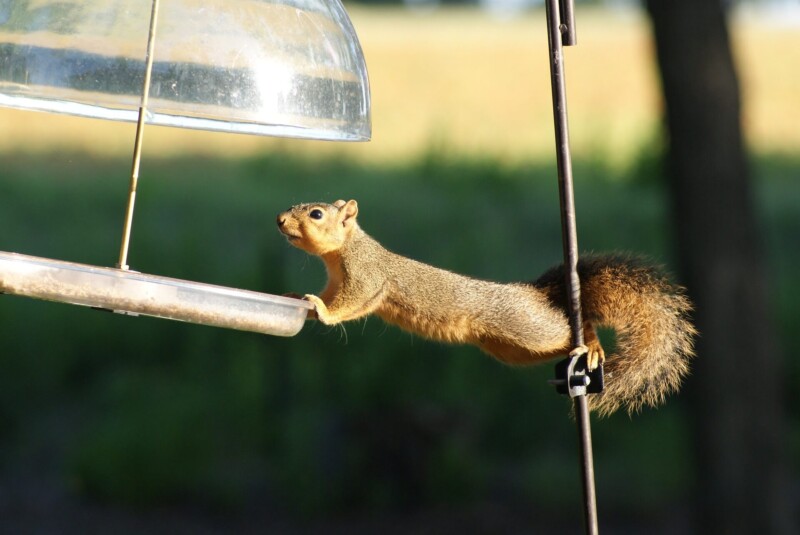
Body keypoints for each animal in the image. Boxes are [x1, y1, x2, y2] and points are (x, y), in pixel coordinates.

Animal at [277, 199, 696, 416]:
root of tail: (536, 293)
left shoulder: (366, 278)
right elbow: (331, 296)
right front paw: (302, 298)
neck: (342, 253)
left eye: (316, 214)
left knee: (571, 326)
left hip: (529, 327)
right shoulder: (336, 281)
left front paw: (321, 310)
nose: (280, 220)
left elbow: (350, 304)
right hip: (513, 349)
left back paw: (591, 345)